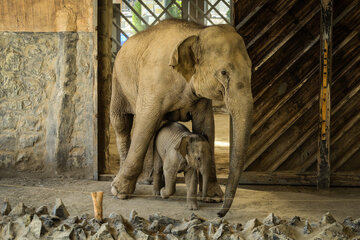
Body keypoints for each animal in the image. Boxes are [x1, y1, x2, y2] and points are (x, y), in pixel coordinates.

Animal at [110, 19, 253, 218]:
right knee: (121, 123)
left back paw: (149, 181)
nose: (219, 214)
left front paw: (213, 198)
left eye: (250, 68)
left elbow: (206, 126)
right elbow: (145, 123)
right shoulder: (153, 83)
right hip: (117, 80)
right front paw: (120, 193)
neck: (197, 31)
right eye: (224, 72)